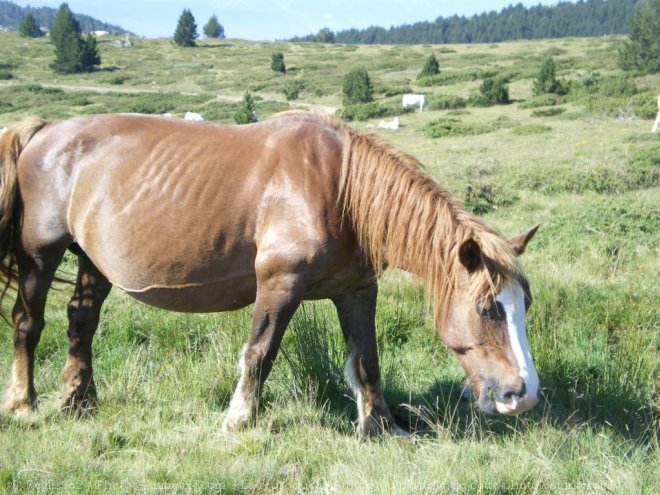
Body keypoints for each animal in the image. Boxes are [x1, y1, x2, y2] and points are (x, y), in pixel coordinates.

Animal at [0, 113, 540, 438]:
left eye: (525, 306)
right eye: (488, 309)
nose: (524, 395)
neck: (338, 186)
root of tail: (46, 130)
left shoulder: (357, 290)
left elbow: (366, 360)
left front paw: (380, 426)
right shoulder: (280, 284)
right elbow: (260, 353)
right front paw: (239, 420)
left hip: (91, 258)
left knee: (81, 320)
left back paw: (79, 400)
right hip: (40, 255)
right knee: (29, 324)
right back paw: (24, 403)